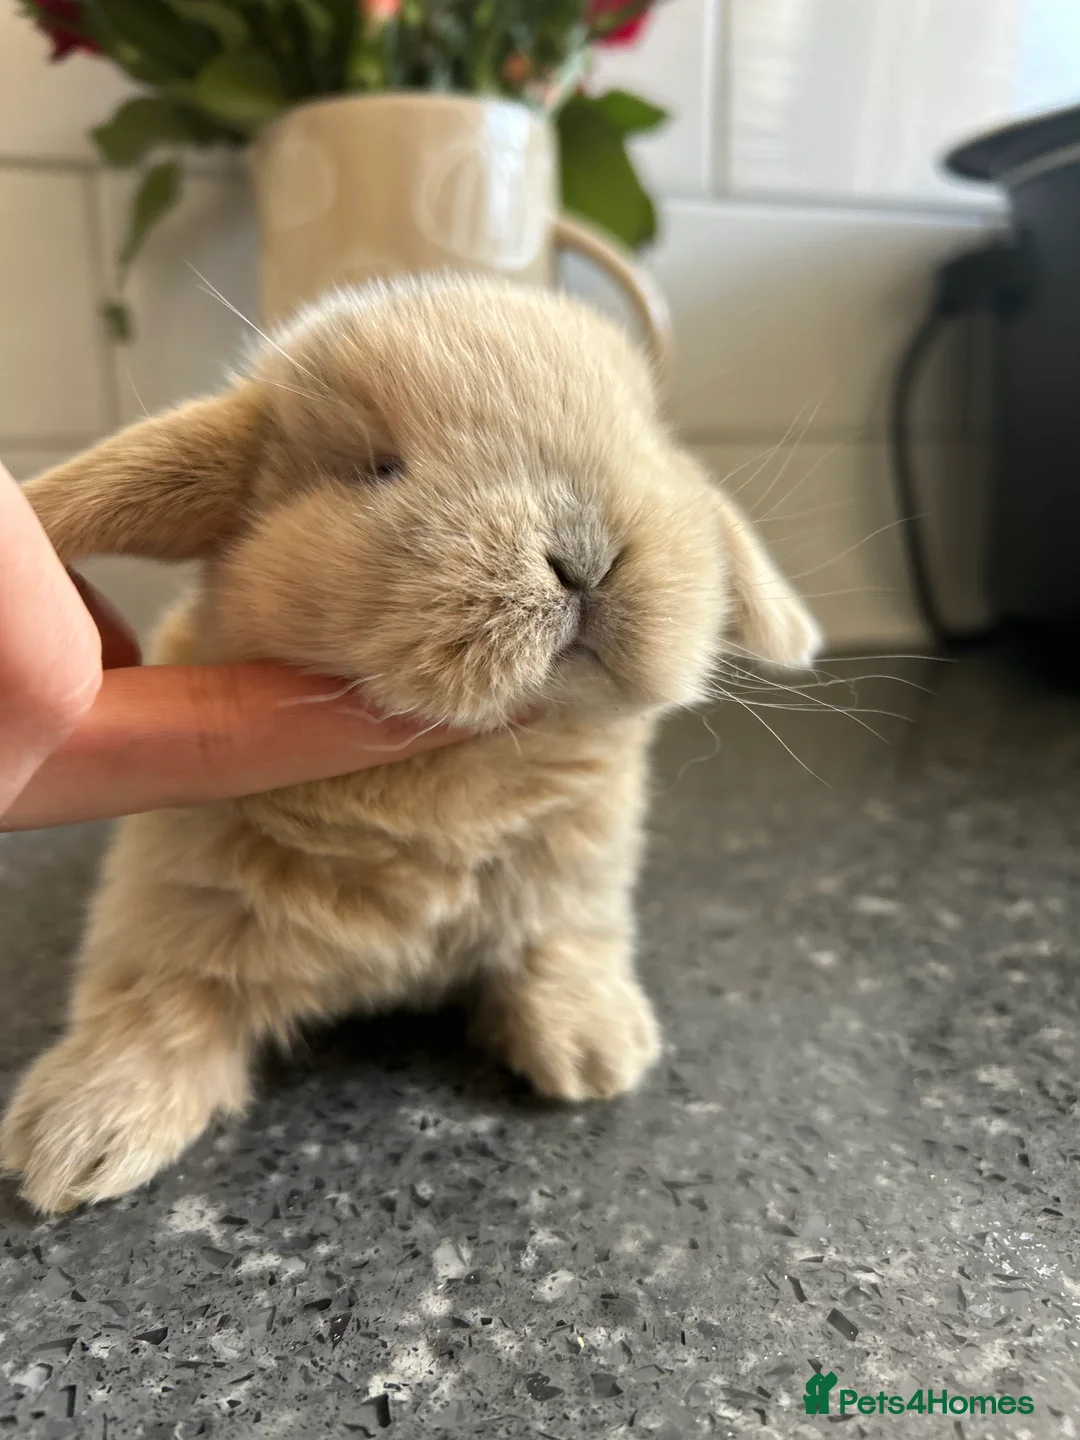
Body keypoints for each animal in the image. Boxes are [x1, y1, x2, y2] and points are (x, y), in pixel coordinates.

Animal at [0, 275, 820, 1213]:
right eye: (378, 468)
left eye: (645, 449)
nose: (586, 557)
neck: (452, 784)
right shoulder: (174, 903)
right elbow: (156, 1004)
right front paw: (76, 1140)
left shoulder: (573, 887)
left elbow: (559, 947)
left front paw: (598, 1050)